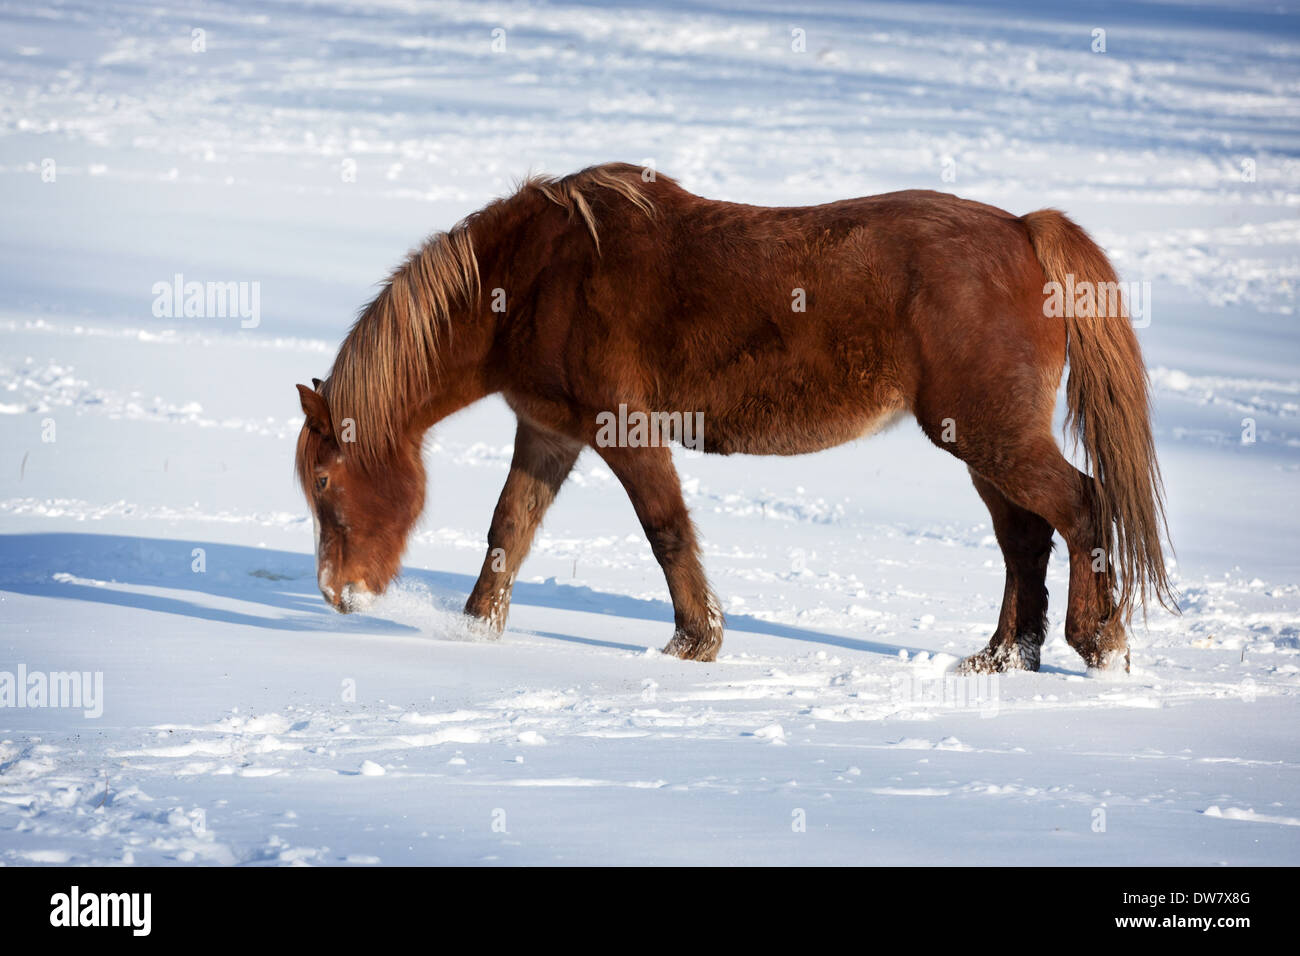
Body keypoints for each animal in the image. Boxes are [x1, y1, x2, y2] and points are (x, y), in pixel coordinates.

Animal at [294, 162, 1175, 673]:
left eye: (327, 484)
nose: (339, 594)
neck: (540, 274)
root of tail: (1025, 231)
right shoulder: (549, 432)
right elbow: (509, 529)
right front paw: (476, 631)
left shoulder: (623, 430)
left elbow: (665, 530)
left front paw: (695, 640)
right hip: (982, 442)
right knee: (1025, 538)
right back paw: (1003, 656)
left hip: (991, 436)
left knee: (1081, 506)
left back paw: (1098, 641)